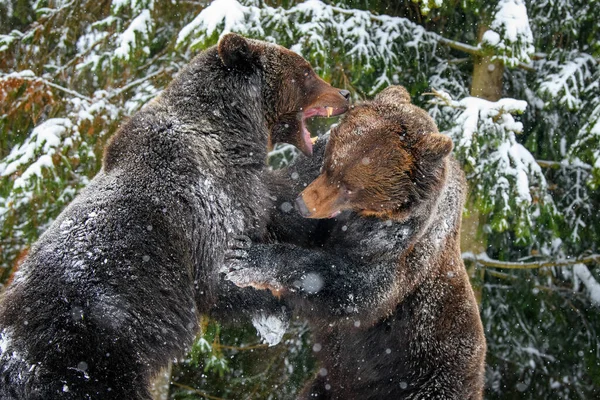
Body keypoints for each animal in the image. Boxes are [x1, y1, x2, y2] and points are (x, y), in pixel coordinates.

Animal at [0, 34, 346, 400]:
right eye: (306, 71)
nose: (345, 94)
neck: (232, 134)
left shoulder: (247, 189)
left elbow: (281, 204)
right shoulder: (204, 204)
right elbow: (221, 275)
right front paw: (280, 304)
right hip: (89, 355)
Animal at [227, 85, 486, 400]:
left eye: (351, 188)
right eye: (329, 165)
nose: (304, 205)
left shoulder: (402, 246)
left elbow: (357, 287)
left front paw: (249, 260)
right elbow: (283, 200)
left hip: (426, 376)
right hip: (329, 383)